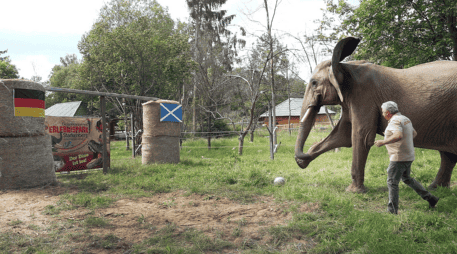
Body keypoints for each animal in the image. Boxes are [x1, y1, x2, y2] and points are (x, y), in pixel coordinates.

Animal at [294, 36, 456, 193]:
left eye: (314, 83)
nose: (301, 157)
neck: (345, 65)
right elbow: (343, 136)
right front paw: (304, 160)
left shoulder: (363, 96)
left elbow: (361, 136)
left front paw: (353, 192)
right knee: (448, 155)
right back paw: (435, 188)